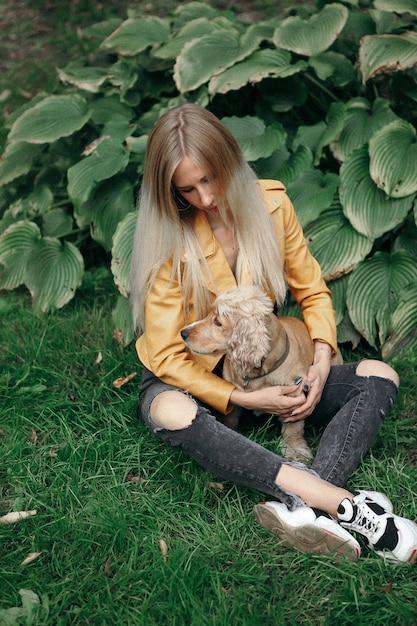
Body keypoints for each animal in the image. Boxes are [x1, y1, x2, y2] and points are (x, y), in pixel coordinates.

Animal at [182, 286, 342, 460]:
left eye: (218, 322)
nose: (183, 333)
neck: (258, 374)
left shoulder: (296, 393)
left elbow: (293, 427)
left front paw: (295, 450)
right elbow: (231, 412)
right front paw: (226, 426)